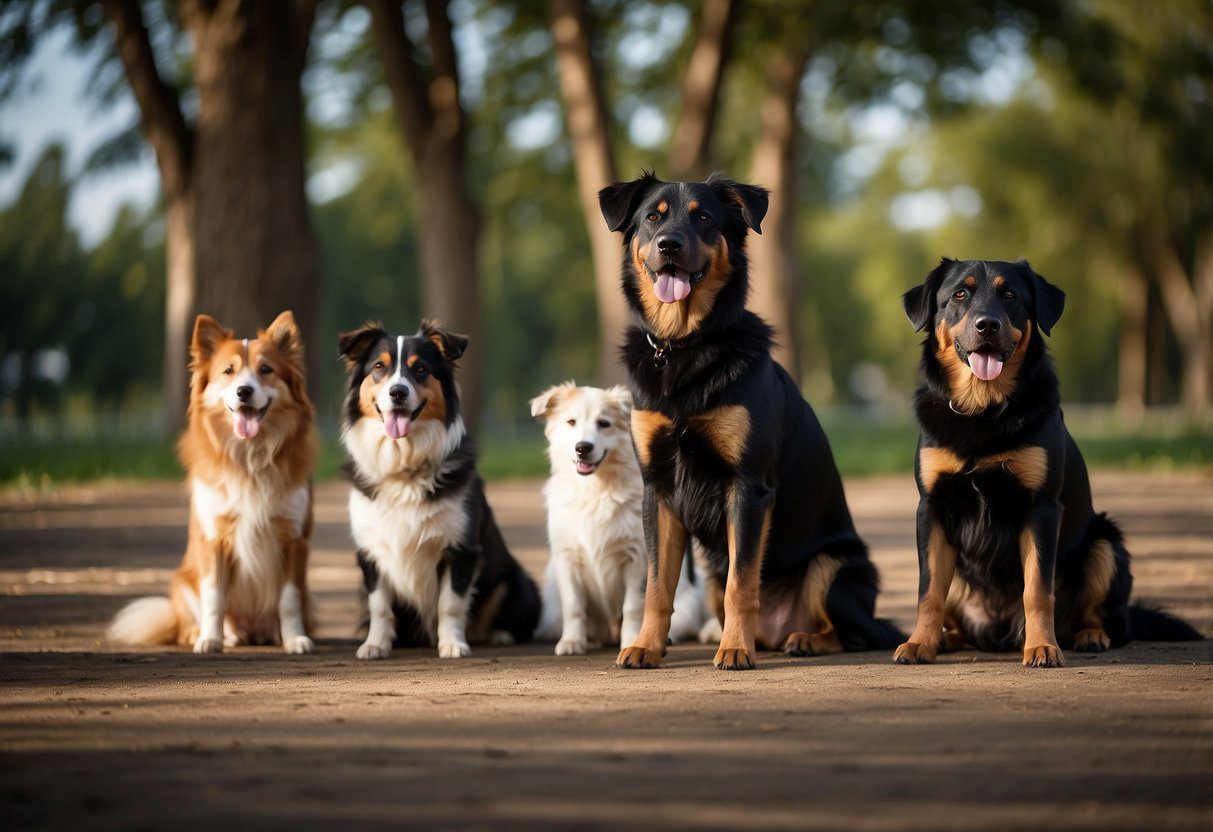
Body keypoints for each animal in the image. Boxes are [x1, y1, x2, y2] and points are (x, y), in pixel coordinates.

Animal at [107, 310, 317, 650]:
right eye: (228, 371)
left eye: (266, 370)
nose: (244, 391)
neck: (250, 457)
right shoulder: (213, 537)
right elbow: (214, 597)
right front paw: (209, 639)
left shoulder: (294, 538)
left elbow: (288, 599)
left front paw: (295, 638)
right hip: (182, 581)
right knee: (187, 622)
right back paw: (215, 636)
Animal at [334, 320, 538, 659]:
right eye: (379, 367)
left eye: (420, 369)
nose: (398, 392)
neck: (404, 464)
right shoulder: (370, 551)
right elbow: (379, 606)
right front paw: (375, 644)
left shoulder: (461, 549)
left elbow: (450, 603)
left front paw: (453, 644)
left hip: (518, 581)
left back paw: (498, 635)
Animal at [531, 385, 708, 659]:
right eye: (571, 422)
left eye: (604, 423)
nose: (583, 447)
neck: (596, 491)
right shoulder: (566, 559)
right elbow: (574, 606)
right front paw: (572, 641)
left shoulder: (635, 559)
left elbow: (633, 607)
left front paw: (633, 641)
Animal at [596, 174, 902, 669]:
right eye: (653, 218)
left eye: (703, 217)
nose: (668, 244)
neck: (685, 345)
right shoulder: (657, 489)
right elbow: (658, 586)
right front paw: (645, 646)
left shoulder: (748, 485)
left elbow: (742, 584)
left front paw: (736, 650)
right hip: (711, 568)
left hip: (834, 567)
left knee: (856, 633)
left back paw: (800, 640)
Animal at [897, 257, 1198, 669]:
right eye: (959, 294)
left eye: (1010, 295)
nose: (987, 324)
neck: (983, 408)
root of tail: (1000, 633)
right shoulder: (932, 507)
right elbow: (929, 590)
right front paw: (919, 643)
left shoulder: (1041, 508)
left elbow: (1037, 589)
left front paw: (1042, 646)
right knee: (958, 618)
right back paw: (946, 639)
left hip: (1105, 543)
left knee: (1107, 621)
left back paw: (1090, 636)